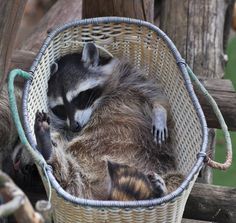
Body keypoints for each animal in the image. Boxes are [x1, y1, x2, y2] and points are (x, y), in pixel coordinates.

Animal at [34, 42, 183, 199]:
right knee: (68, 171)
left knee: (176, 178)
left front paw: (159, 113)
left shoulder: (129, 78)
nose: (75, 126)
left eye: (78, 97)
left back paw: (160, 190)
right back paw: (48, 148)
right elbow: (63, 132)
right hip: (80, 174)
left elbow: (153, 95)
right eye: (60, 108)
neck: (99, 101)